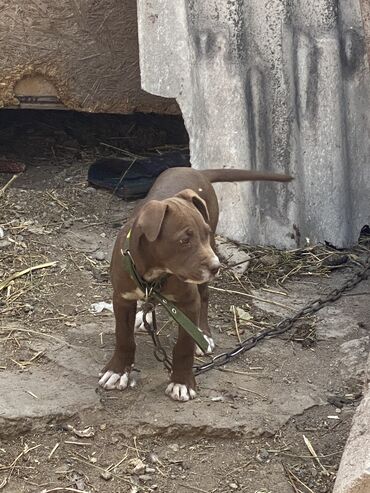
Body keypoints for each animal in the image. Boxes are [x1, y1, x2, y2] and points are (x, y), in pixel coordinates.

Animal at [99, 165, 292, 400]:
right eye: (184, 240)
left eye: (205, 234)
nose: (216, 266)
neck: (155, 273)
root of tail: (196, 170)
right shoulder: (122, 298)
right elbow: (124, 337)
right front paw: (117, 371)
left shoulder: (189, 302)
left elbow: (184, 346)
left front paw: (181, 382)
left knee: (204, 298)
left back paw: (203, 334)